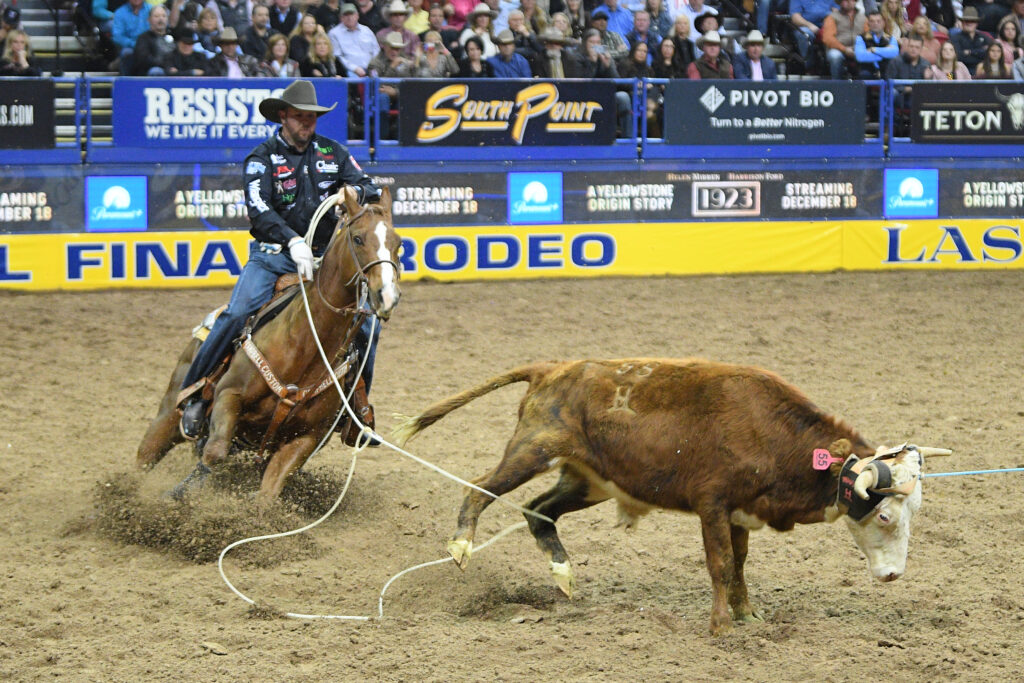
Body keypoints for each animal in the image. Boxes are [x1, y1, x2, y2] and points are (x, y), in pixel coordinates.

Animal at [135, 187, 403, 501]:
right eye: (358, 238)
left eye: (398, 243)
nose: (386, 295)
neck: (303, 347)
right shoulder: (229, 395)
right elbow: (214, 454)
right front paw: (178, 493)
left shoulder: (306, 437)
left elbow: (268, 493)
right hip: (168, 416)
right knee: (145, 457)